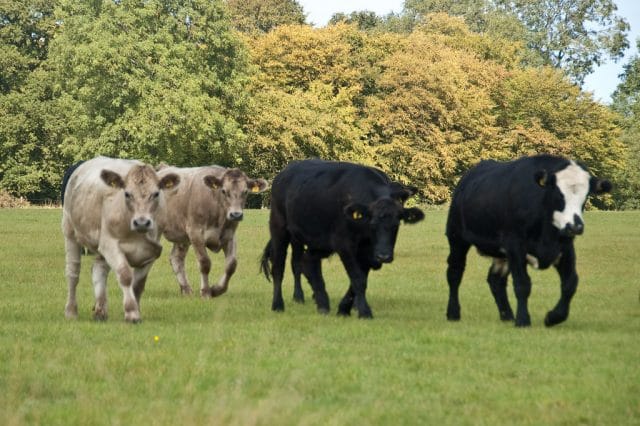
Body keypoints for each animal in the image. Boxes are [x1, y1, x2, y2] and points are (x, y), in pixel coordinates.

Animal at [156, 165, 268, 298]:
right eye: (224, 191)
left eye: (245, 191)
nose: (236, 215)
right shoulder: (195, 233)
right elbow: (205, 263)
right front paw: (205, 292)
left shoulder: (230, 236)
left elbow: (231, 265)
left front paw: (216, 290)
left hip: (181, 237)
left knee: (176, 258)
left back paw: (186, 289)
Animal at [260, 161, 424, 320]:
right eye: (372, 223)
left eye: (397, 224)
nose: (383, 256)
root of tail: (284, 172)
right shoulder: (344, 244)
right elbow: (358, 278)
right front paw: (364, 312)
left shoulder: (367, 252)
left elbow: (359, 279)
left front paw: (344, 309)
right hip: (280, 229)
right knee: (280, 267)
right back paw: (279, 304)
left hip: (319, 242)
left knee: (308, 261)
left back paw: (322, 303)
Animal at [442, 155, 612, 328]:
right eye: (559, 194)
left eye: (585, 196)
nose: (575, 227)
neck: (546, 235)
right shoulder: (515, 246)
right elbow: (522, 284)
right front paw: (523, 320)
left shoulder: (565, 248)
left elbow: (570, 283)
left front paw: (554, 317)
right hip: (457, 237)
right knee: (455, 273)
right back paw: (453, 313)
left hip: (501, 254)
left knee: (496, 279)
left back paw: (507, 315)